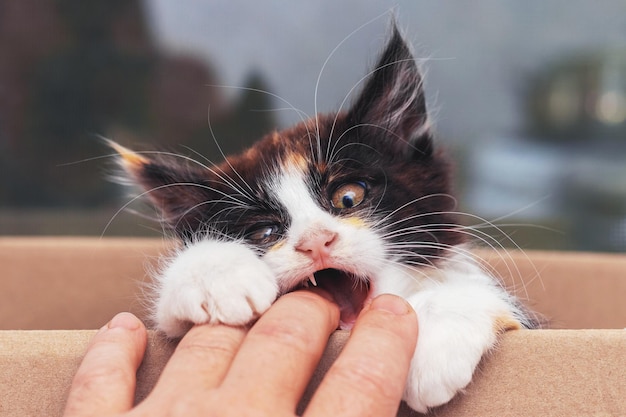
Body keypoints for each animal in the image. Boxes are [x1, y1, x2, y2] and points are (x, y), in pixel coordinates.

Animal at [109, 23, 532, 412]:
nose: (315, 241)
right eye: (264, 232)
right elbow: (170, 315)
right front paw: (216, 275)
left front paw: (435, 336)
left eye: (348, 197)